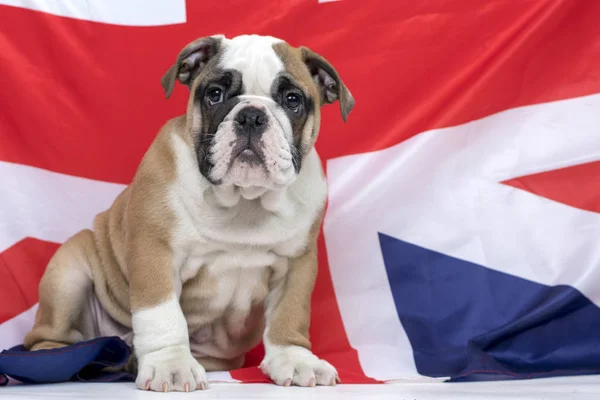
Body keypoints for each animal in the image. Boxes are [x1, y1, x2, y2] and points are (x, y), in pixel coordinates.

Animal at [22, 32, 352, 392]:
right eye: (215, 94)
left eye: (292, 99)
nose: (252, 115)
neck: (243, 199)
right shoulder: (155, 252)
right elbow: (162, 314)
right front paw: (171, 365)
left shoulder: (297, 262)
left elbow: (289, 313)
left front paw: (295, 358)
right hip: (67, 272)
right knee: (46, 337)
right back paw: (57, 360)